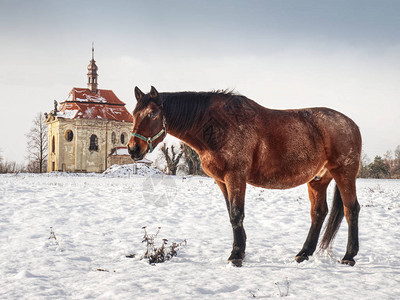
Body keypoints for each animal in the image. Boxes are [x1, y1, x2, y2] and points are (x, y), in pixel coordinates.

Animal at [129, 85, 362, 266]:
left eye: (152, 114)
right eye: (134, 114)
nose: (133, 149)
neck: (216, 125)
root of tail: (351, 124)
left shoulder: (235, 177)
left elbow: (236, 214)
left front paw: (236, 255)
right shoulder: (221, 180)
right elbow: (231, 214)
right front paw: (240, 250)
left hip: (344, 173)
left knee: (351, 209)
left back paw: (349, 256)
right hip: (317, 180)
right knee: (318, 213)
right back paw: (303, 253)